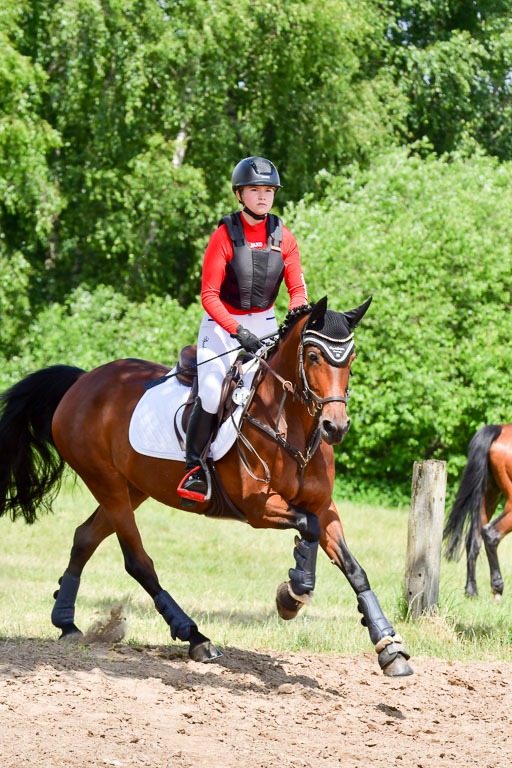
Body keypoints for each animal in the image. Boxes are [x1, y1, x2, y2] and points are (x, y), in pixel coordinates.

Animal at [0, 296, 412, 677]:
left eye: (350, 358)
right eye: (312, 356)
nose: (335, 427)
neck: (289, 425)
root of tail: (82, 381)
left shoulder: (324, 508)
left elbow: (353, 567)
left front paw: (388, 645)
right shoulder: (258, 508)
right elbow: (307, 528)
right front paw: (293, 594)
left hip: (133, 487)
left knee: (85, 536)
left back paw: (67, 623)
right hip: (107, 483)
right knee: (138, 561)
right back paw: (194, 637)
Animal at [443, 423, 512, 598]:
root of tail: (501, 428)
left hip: (488, 495)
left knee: (474, 538)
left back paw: (471, 589)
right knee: (491, 534)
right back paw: (497, 588)